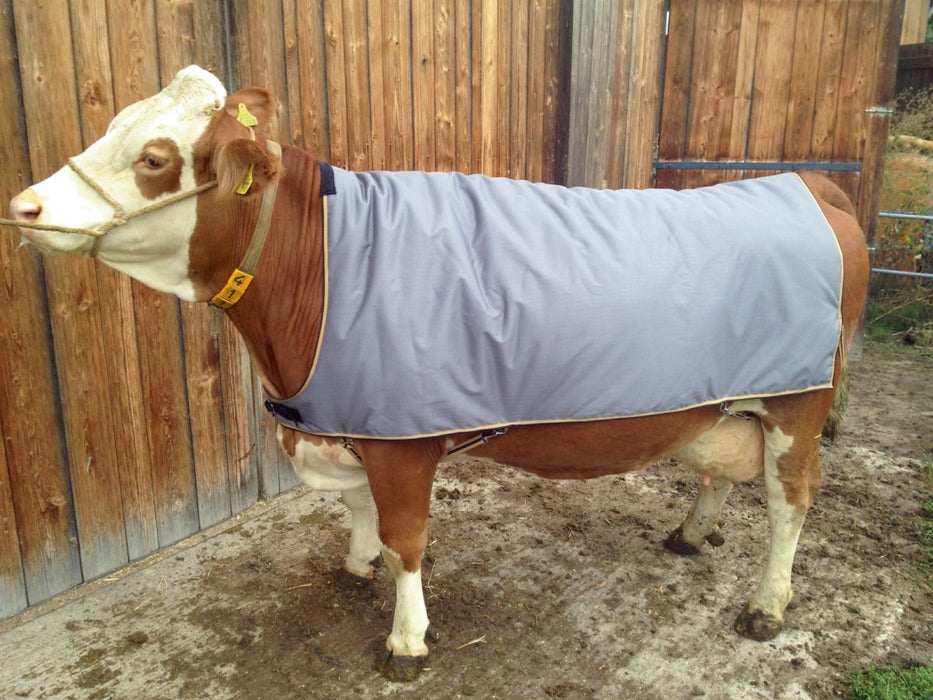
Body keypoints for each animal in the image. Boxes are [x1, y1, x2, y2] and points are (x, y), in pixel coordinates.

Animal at [7, 66, 869, 681]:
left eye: (153, 158)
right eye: (110, 125)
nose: (24, 207)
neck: (322, 269)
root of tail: (804, 183)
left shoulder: (401, 440)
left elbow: (406, 543)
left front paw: (406, 641)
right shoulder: (352, 419)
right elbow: (359, 516)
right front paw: (354, 563)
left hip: (798, 403)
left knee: (791, 499)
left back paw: (766, 605)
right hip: (728, 395)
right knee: (721, 466)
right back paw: (692, 533)